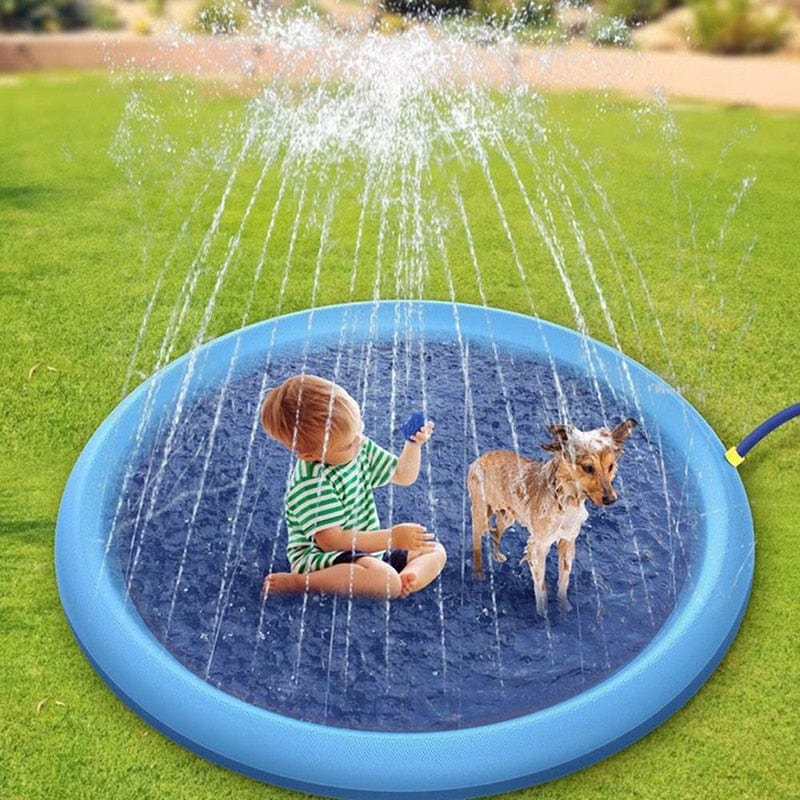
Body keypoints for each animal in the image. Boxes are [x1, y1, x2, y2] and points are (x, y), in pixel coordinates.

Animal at [468, 418, 636, 620]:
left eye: (611, 467)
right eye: (588, 468)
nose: (611, 499)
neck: (566, 500)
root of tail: (481, 457)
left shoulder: (567, 542)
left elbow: (564, 579)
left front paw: (564, 607)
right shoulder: (538, 546)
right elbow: (541, 584)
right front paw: (543, 614)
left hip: (506, 516)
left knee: (495, 533)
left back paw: (497, 556)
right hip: (481, 512)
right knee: (476, 539)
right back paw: (478, 572)